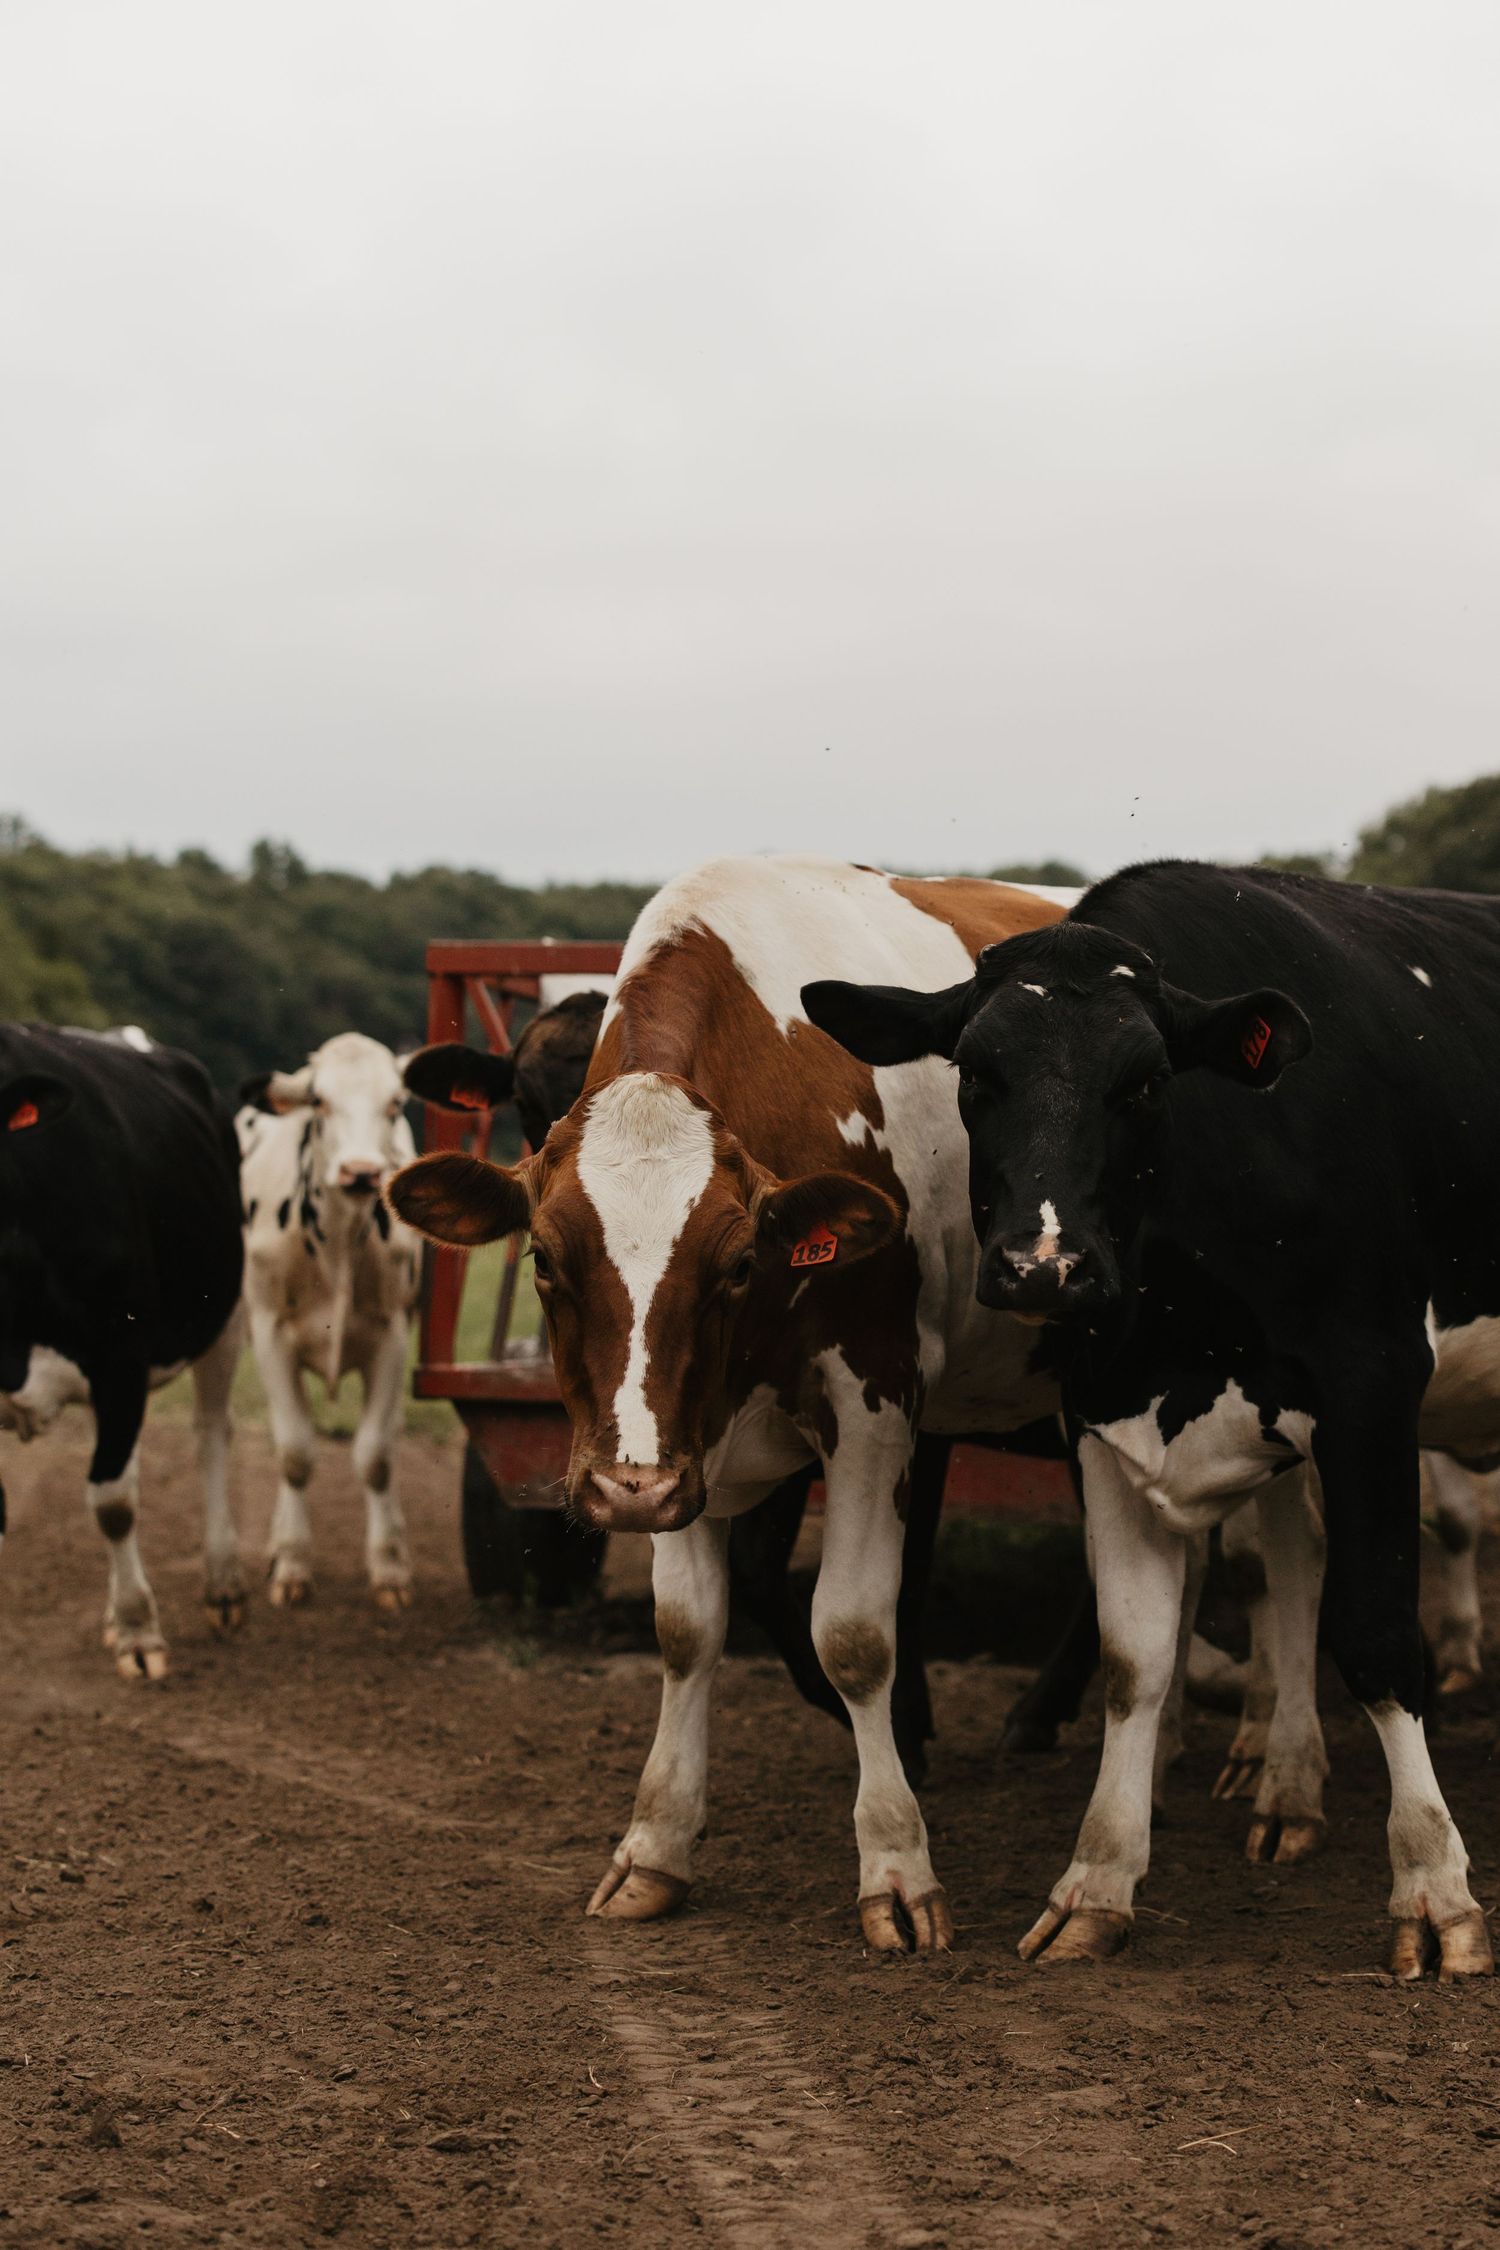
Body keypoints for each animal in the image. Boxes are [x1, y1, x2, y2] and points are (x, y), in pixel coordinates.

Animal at [0, 1024, 245, 1676]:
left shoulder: (120, 1360)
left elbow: (112, 1505)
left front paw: (140, 1632)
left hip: (225, 1315)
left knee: (211, 1436)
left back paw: (224, 1585)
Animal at [238, 1033, 421, 1608]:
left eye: (395, 1102)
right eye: (318, 1102)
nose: (361, 1171)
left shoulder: (392, 1336)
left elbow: (376, 1457)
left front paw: (390, 1567)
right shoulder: (270, 1336)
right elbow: (295, 1452)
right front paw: (293, 1561)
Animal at [389, 854, 1074, 1951]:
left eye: (740, 1261)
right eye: (543, 1257)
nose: (619, 1490)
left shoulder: (874, 1402)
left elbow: (854, 1631)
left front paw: (896, 1861)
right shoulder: (683, 1442)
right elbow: (687, 1628)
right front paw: (655, 1847)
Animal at [803, 858, 1500, 1981]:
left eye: (1144, 1079)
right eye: (973, 1073)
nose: (1044, 1266)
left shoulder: (1372, 1389)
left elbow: (1380, 1637)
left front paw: (1435, 1892)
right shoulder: (1104, 1412)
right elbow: (1136, 1655)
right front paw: (1096, 1882)